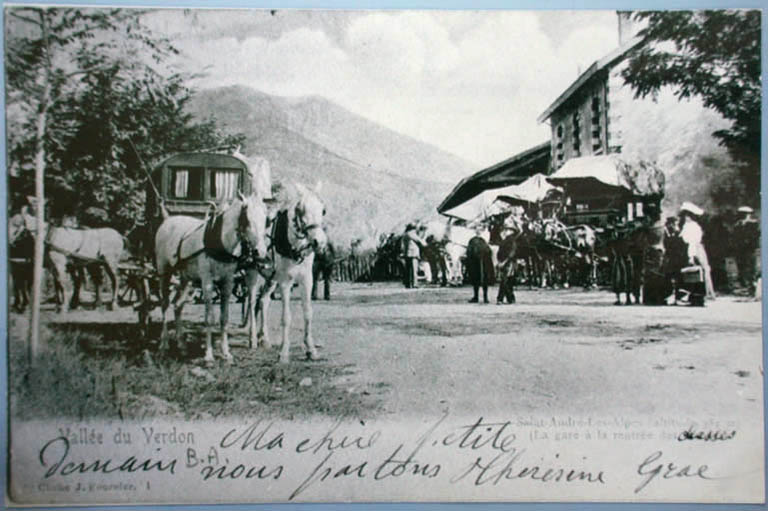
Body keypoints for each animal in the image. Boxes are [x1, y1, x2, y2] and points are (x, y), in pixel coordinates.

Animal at [154, 191, 268, 364]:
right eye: (246, 219)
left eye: (265, 219)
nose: (260, 252)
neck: (220, 242)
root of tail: (167, 220)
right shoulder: (207, 282)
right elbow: (209, 318)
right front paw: (208, 355)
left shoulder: (227, 282)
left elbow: (224, 318)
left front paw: (226, 353)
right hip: (164, 273)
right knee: (165, 305)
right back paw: (163, 345)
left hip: (187, 279)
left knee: (177, 305)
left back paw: (182, 345)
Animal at [250, 182, 326, 362]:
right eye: (301, 210)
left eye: (323, 210)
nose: (319, 242)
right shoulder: (285, 281)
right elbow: (286, 317)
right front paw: (284, 352)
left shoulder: (307, 280)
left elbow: (308, 313)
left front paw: (311, 349)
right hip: (254, 275)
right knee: (250, 302)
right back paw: (252, 338)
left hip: (271, 278)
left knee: (263, 302)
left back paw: (264, 338)